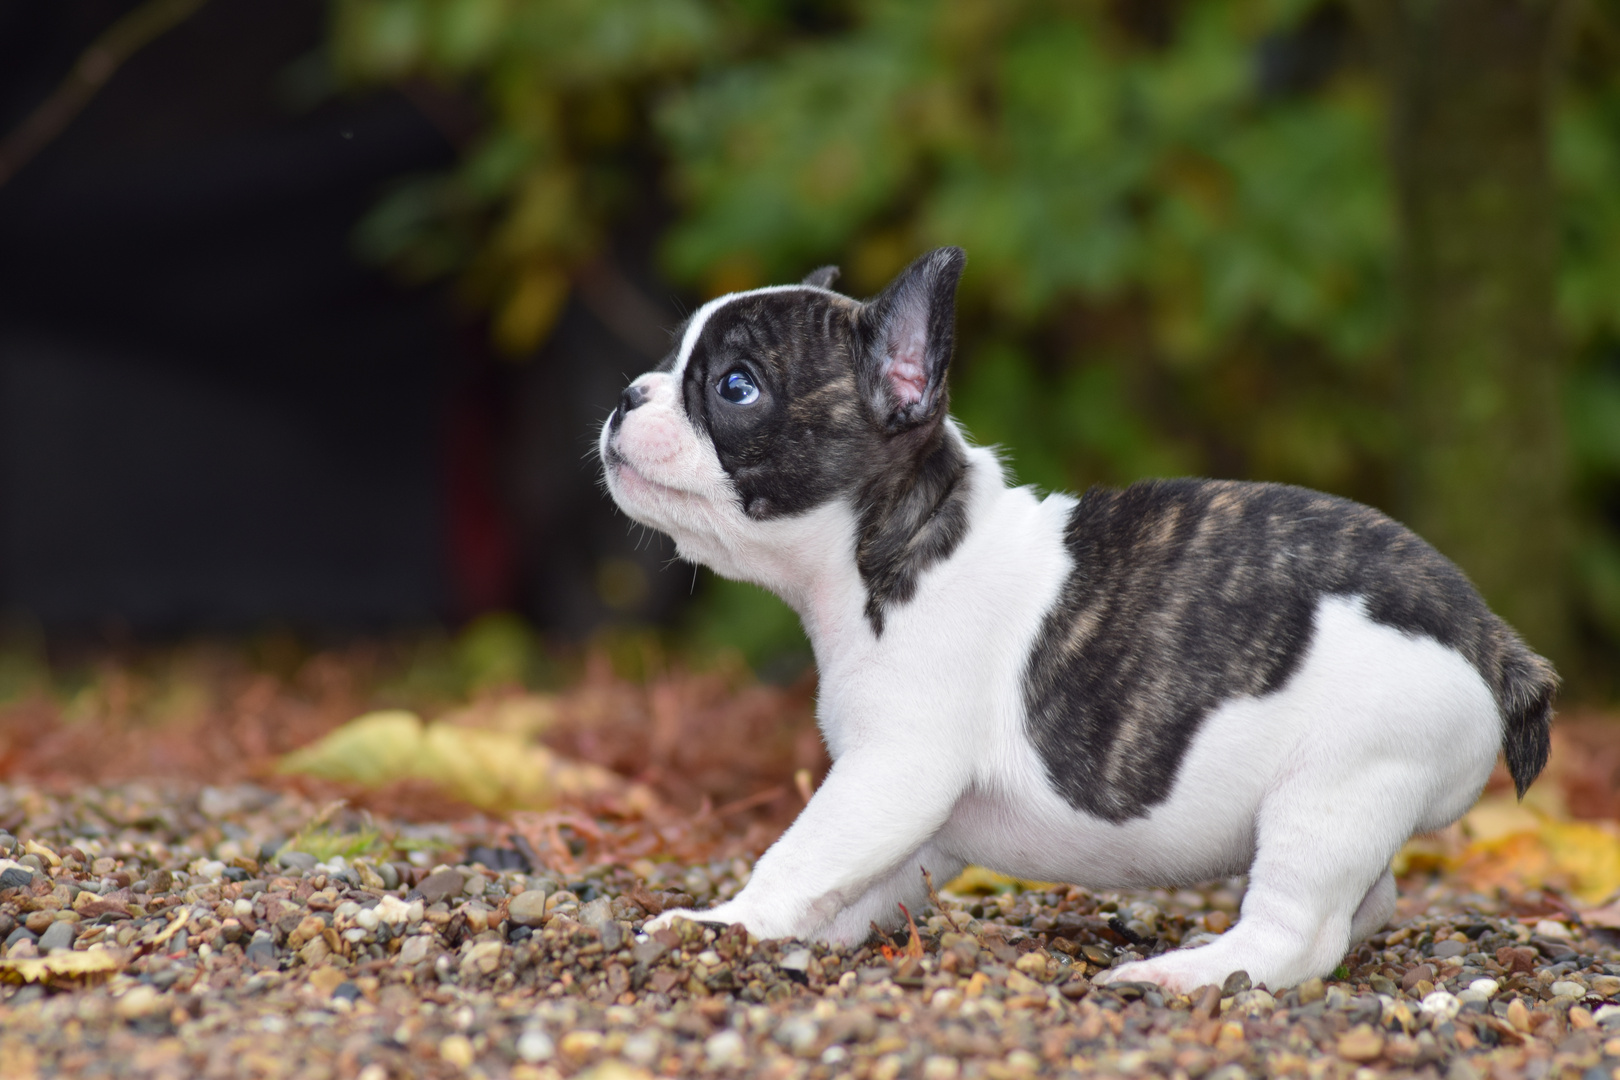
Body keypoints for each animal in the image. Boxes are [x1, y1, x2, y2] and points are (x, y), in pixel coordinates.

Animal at [596, 249, 1555, 990]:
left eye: (735, 387)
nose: (626, 394)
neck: (897, 544)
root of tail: (1491, 641)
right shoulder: (915, 820)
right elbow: (856, 882)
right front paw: (794, 931)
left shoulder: (893, 770)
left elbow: (800, 852)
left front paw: (722, 921)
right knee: (1366, 904)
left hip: (1337, 785)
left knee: (1298, 932)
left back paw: (1184, 974)